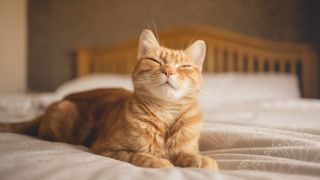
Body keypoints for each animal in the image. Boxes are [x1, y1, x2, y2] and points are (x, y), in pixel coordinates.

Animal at [0, 28, 219, 169]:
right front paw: (158, 161)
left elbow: (189, 154)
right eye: (155, 61)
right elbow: (138, 155)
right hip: (63, 118)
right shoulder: (107, 148)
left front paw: (200, 159)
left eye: (184, 67)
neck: (165, 114)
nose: (168, 71)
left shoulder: (187, 148)